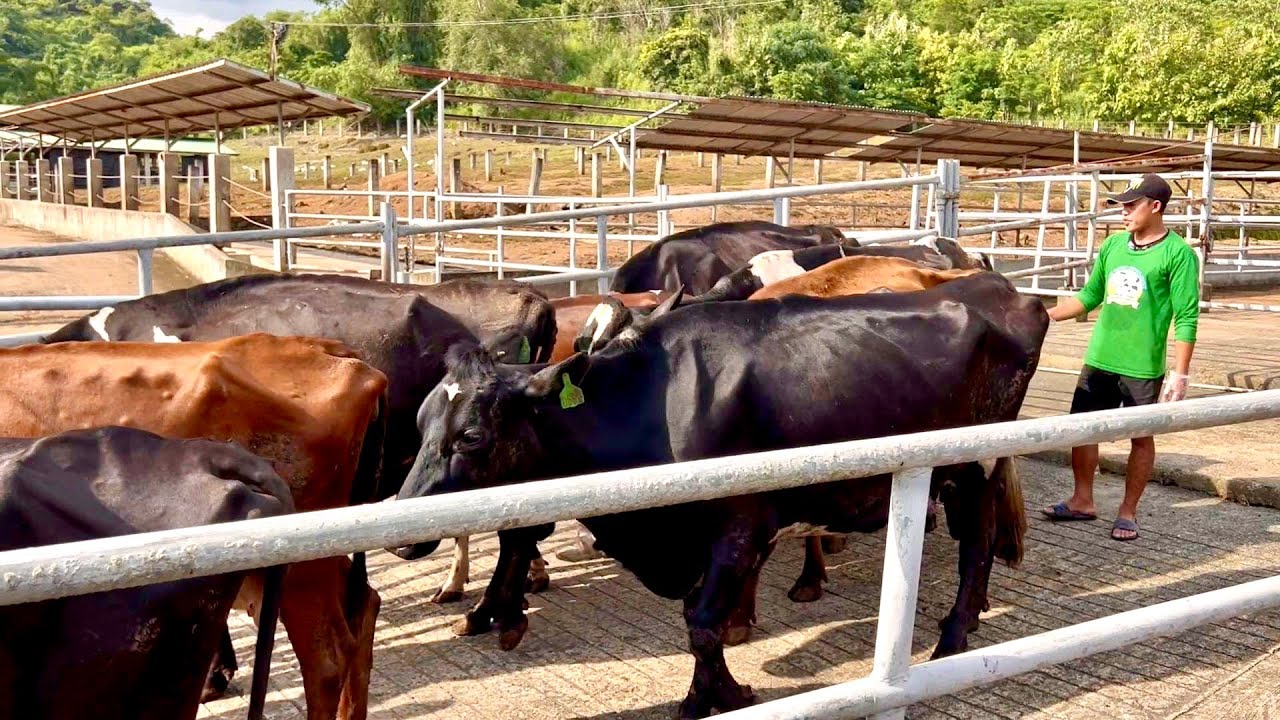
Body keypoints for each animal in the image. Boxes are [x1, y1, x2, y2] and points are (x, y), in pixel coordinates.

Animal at [396, 271, 1047, 718]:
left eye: (471, 436)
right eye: (422, 422)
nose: (402, 537)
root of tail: (997, 286)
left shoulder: (740, 527)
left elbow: (702, 623)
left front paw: (718, 695)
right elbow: (697, 621)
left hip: (972, 465)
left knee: (976, 542)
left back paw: (953, 638)